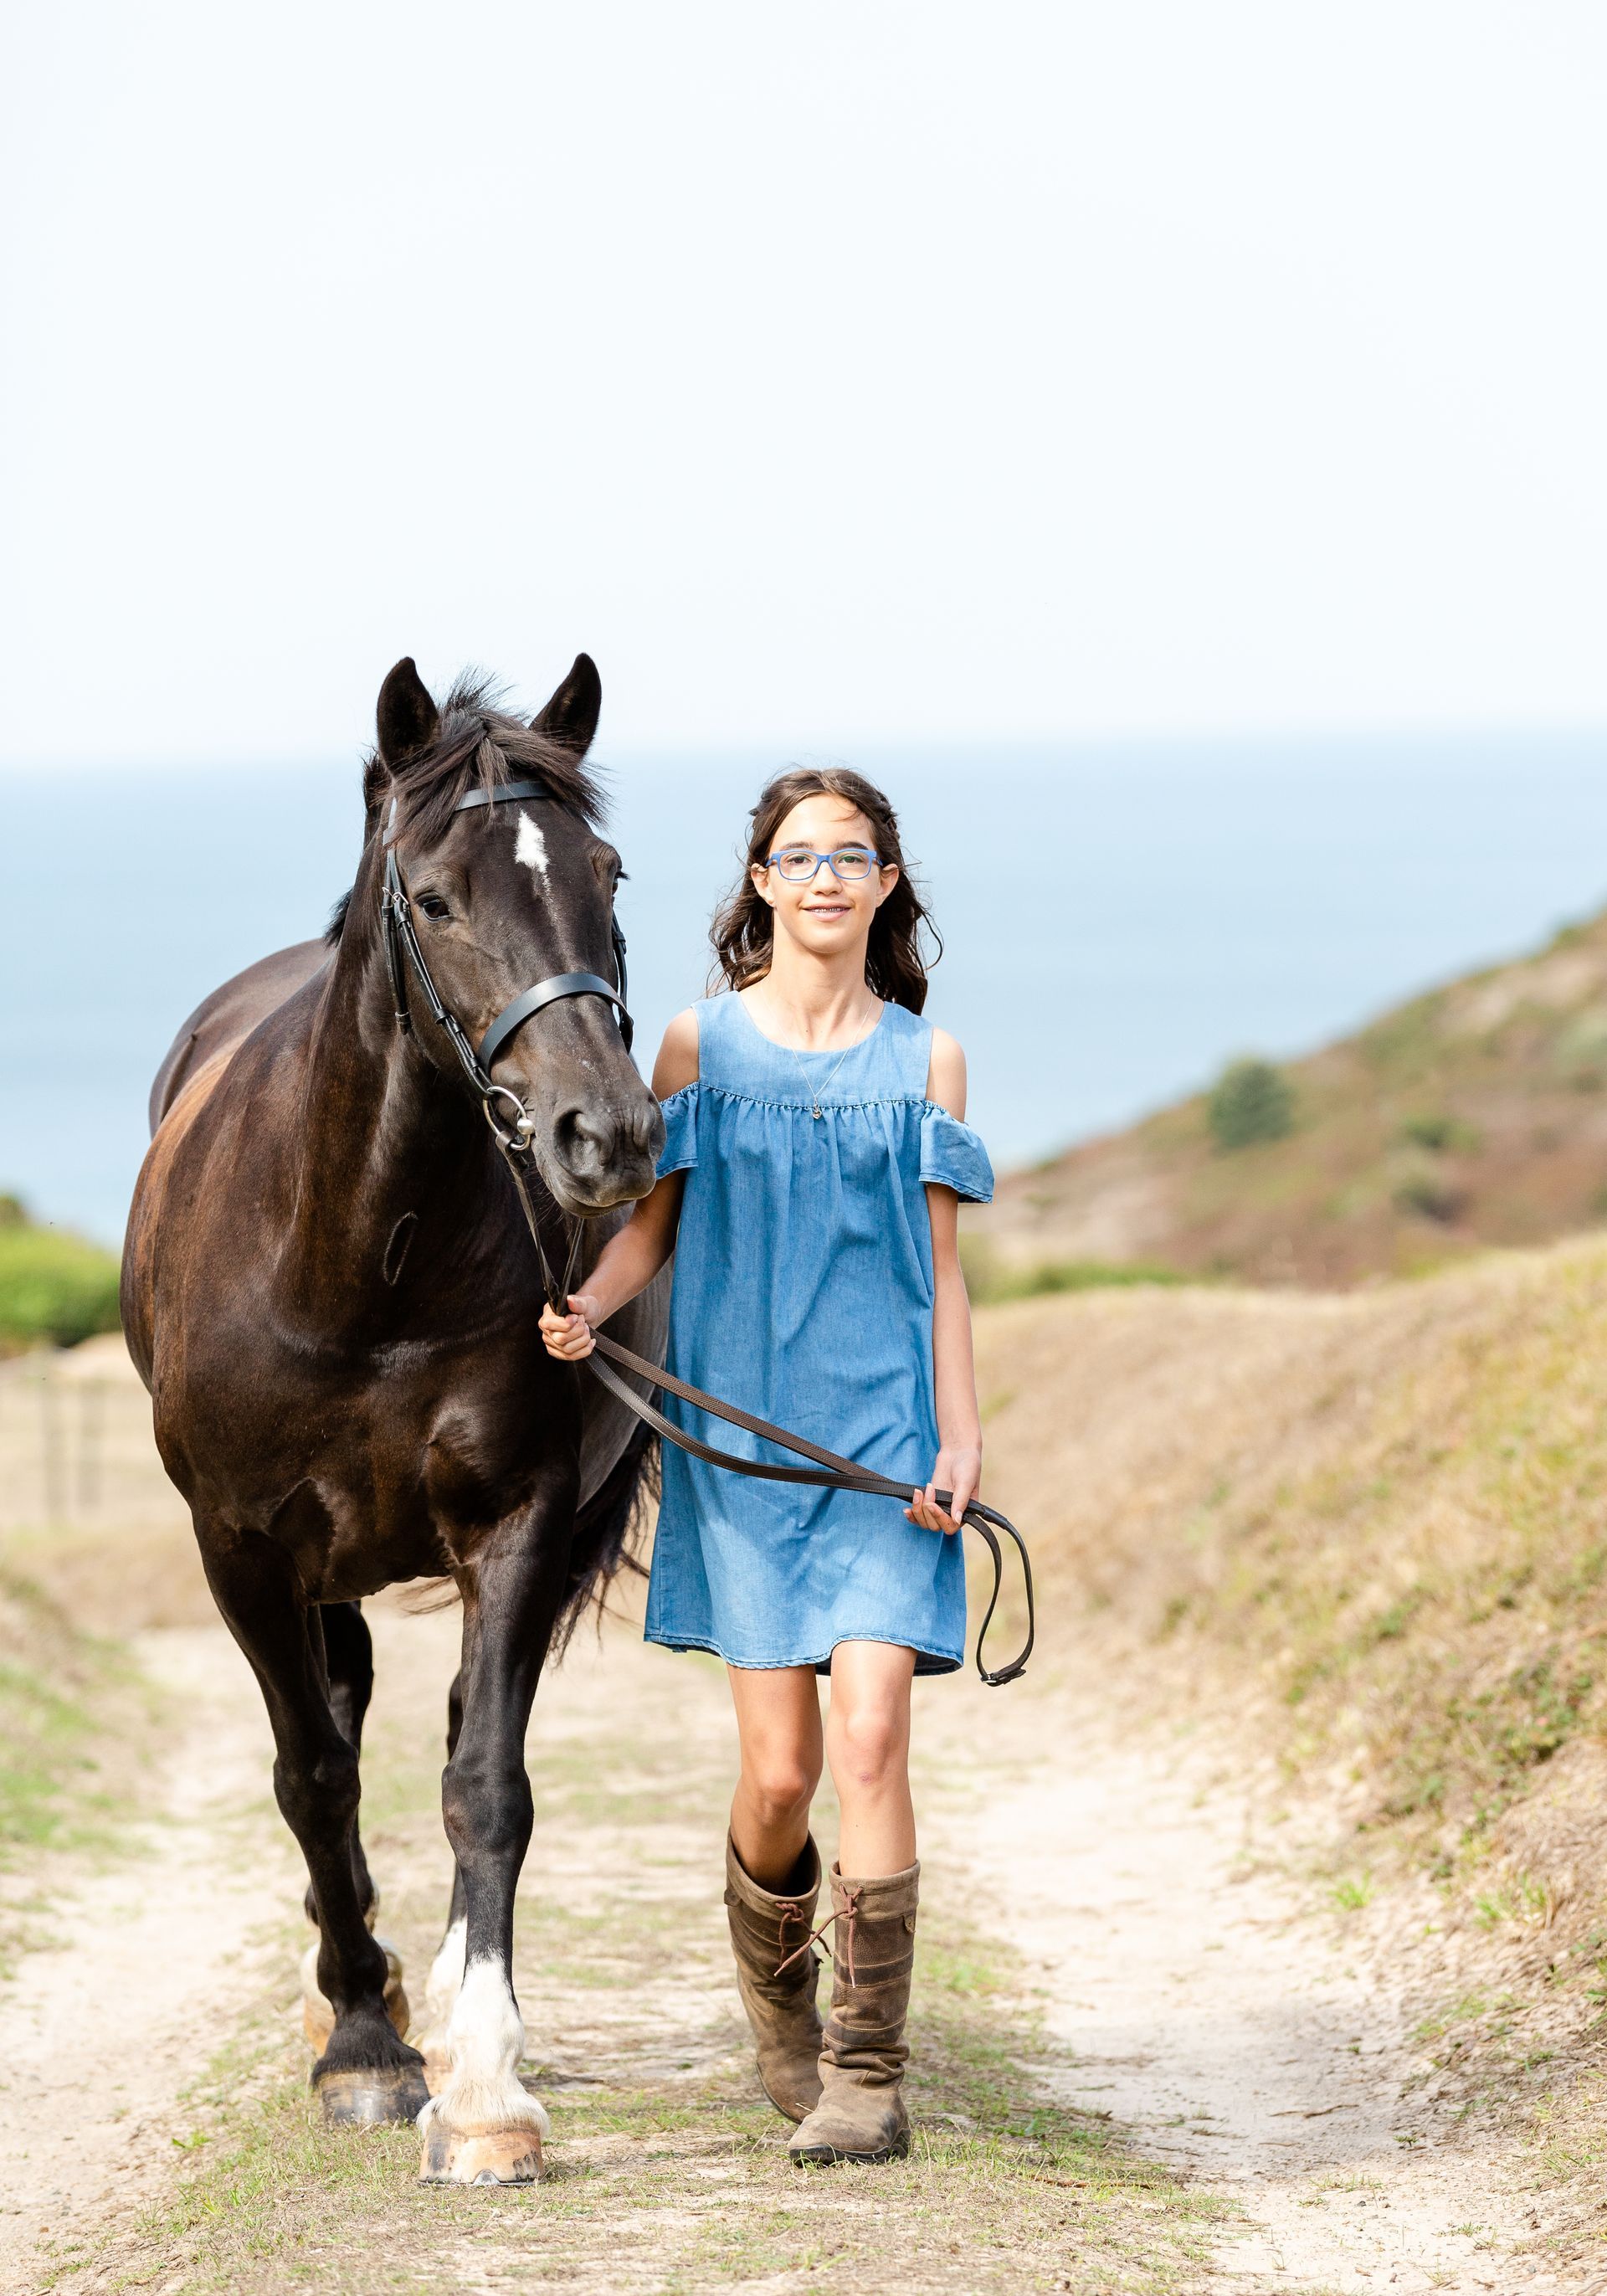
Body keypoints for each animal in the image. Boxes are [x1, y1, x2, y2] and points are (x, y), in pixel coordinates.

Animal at [121, 654, 667, 2184]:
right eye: (433, 897)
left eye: (607, 873)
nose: (605, 1136)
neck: (363, 1259)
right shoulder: (242, 1545)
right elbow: (311, 1770)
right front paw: (365, 2046)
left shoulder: (520, 1521)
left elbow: (487, 1781)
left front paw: (483, 2087)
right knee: (339, 1721)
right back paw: (349, 1991)